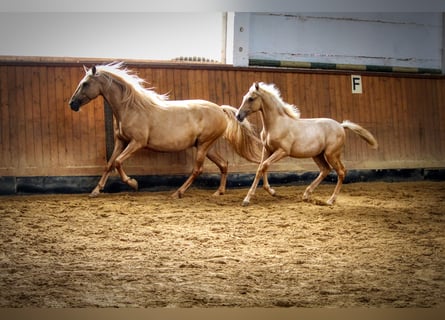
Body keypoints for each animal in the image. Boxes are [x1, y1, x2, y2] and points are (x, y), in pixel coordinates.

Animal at [69, 62, 262, 198]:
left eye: (85, 84)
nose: (72, 104)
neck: (131, 108)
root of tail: (220, 109)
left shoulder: (137, 142)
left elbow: (117, 162)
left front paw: (133, 183)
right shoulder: (121, 141)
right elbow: (109, 164)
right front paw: (95, 191)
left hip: (204, 145)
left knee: (197, 169)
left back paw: (178, 192)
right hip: (207, 146)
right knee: (223, 164)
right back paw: (218, 192)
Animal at [234, 82, 376, 205]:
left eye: (251, 99)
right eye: (244, 97)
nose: (238, 116)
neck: (276, 124)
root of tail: (341, 126)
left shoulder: (282, 151)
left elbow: (263, 166)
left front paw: (247, 199)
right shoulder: (267, 149)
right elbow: (262, 167)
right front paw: (272, 191)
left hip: (331, 154)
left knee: (341, 171)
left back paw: (330, 200)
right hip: (318, 155)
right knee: (325, 169)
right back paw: (307, 194)